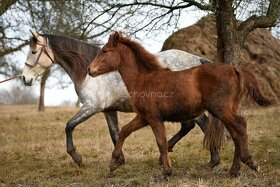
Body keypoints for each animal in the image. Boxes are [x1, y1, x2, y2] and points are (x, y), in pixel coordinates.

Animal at [88, 31, 272, 177]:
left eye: (105, 51)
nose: (90, 70)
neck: (143, 79)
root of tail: (234, 69)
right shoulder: (143, 117)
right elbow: (124, 131)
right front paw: (114, 163)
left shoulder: (154, 118)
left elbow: (161, 143)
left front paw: (166, 172)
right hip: (225, 110)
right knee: (235, 133)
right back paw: (234, 171)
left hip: (221, 109)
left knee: (240, 126)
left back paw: (250, 163)